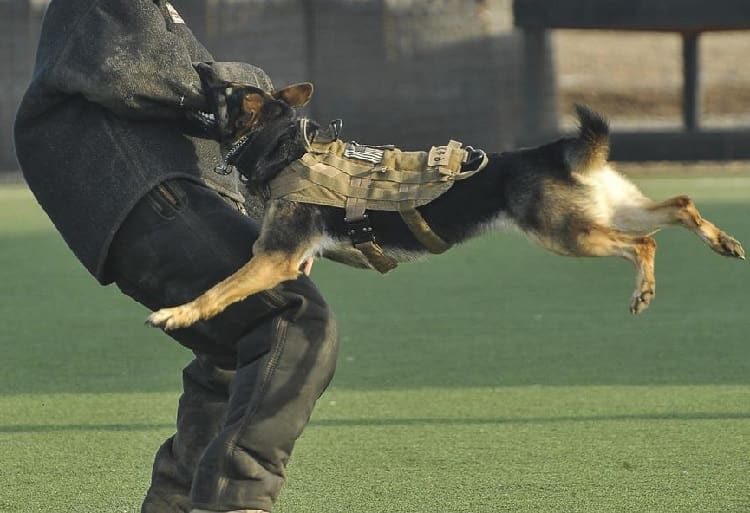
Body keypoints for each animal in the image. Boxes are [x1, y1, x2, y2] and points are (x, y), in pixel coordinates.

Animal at [147, 65, 748, 328]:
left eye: (220, 90)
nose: (197, 66)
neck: (284, 147)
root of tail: (553, 151)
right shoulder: (284, 260)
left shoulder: (274, 258)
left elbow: (219, 289)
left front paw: (178, 314)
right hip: (606, 211)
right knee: (679, 205)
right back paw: (724, 243)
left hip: (566, 234)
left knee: (645, 243)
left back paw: (644, 290)